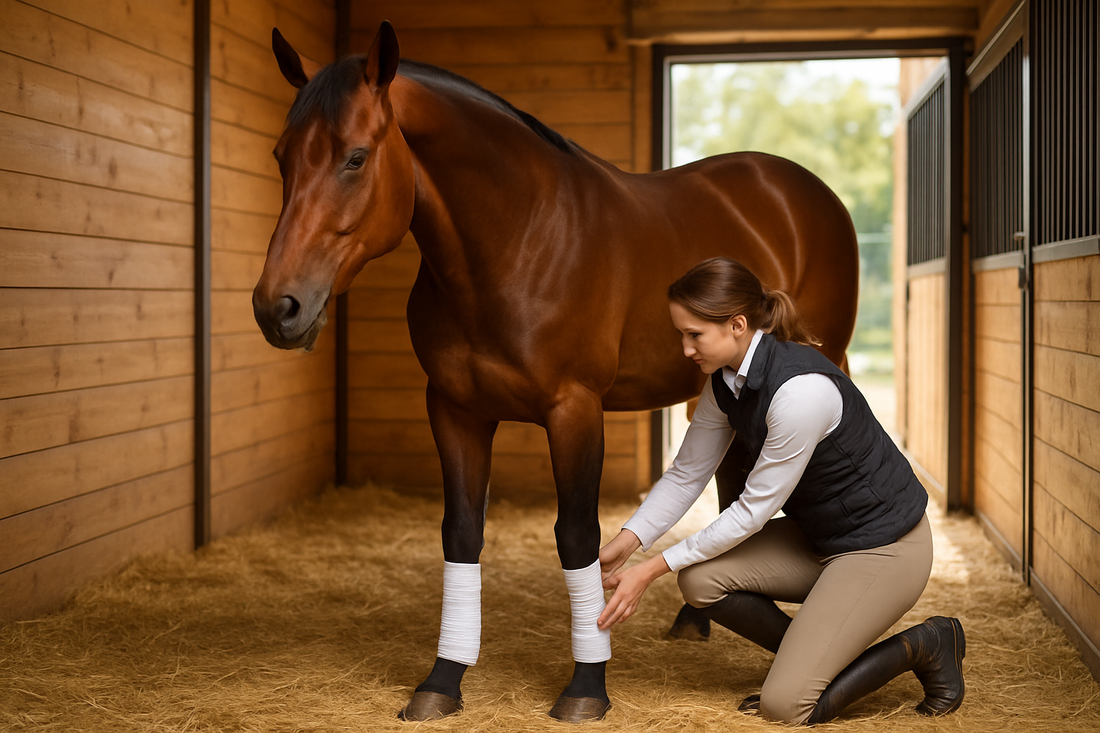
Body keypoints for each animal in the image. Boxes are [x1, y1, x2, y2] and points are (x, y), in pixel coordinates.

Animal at [253, 22, 859, 723]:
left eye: (354, 158)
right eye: (282, 157)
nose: (277, 307)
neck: (517, 238)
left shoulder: (574, 410)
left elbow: (577, 538)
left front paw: (586, 686)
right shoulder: (455, 410)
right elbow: (461, 534)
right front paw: (442, 679)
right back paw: (693, 622)